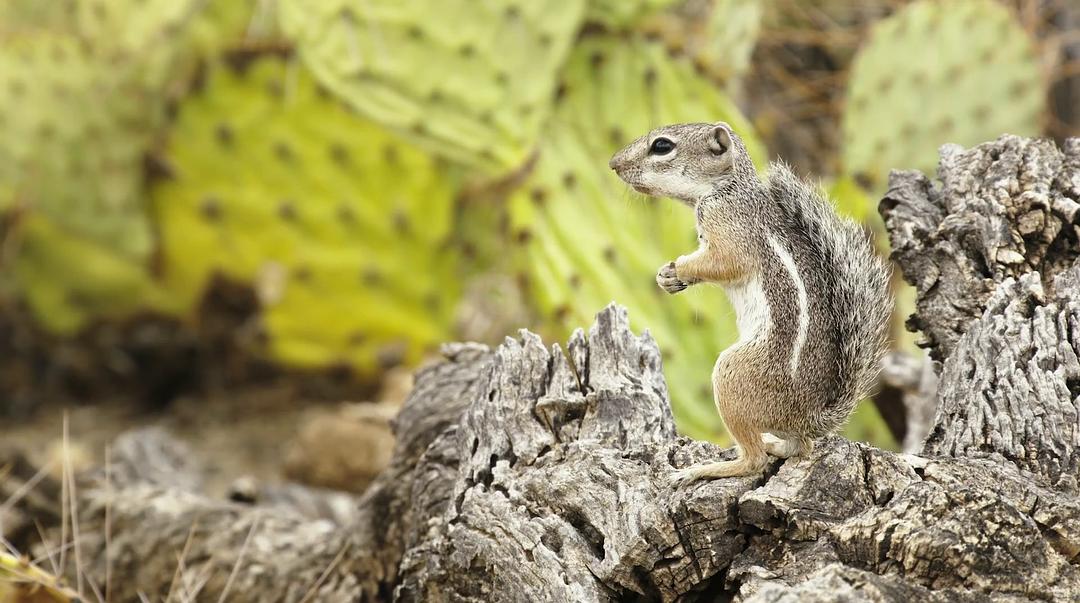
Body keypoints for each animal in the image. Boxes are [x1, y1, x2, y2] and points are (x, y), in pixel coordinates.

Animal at [608, 122, 891, 484]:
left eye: (662, 146)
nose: (614, 164)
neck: (727, 189)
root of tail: (809, 416)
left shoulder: (731, 231)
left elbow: (724, 263)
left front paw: (679, 268)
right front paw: (666, 277)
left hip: (732, 376)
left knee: (755, 459)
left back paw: (704, 470)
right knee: (799, 447)